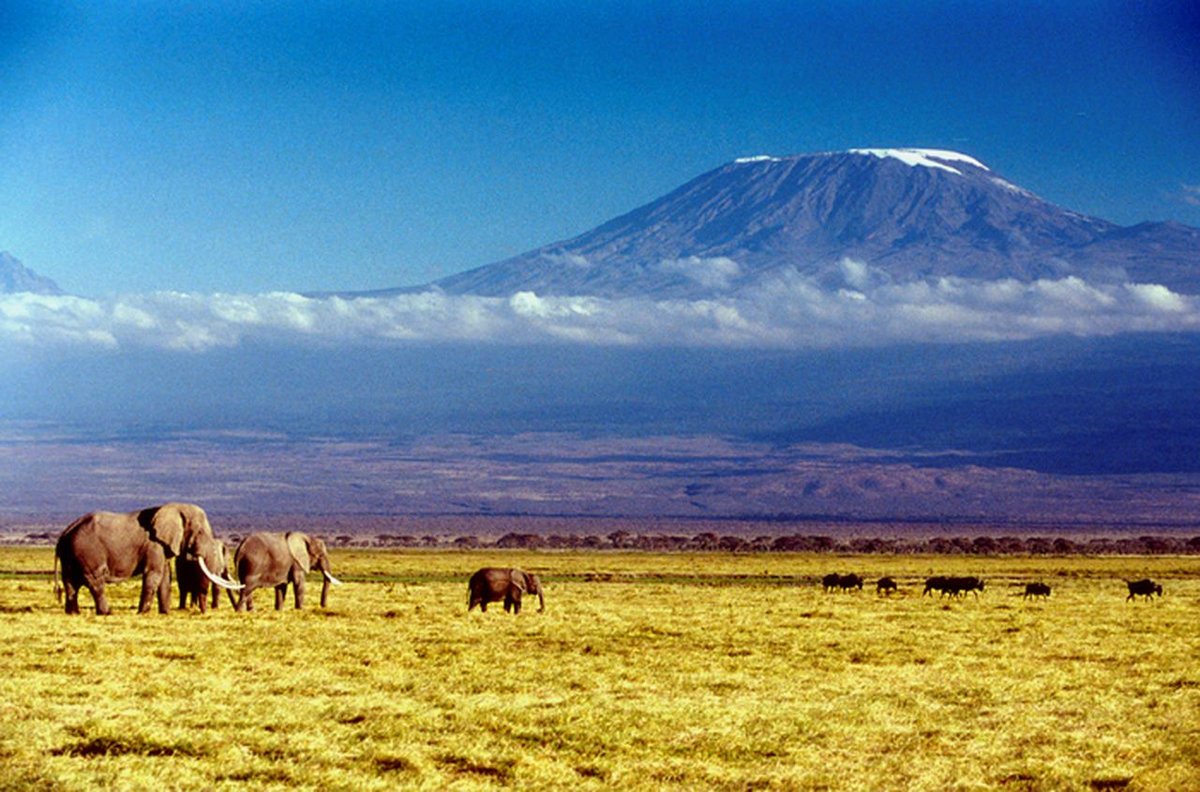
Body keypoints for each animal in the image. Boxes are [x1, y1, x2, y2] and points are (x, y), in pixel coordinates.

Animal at [55, 501, 242, 619]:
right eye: (200, 532)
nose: (203, 613)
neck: (174, 507)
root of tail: (66, 532)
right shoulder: (154, 545)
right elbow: (154, 574)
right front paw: (143, 613)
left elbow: (165, 577)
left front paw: (165, 613)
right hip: (87, 551)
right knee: (95, 581)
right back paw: (107, 613)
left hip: (72, 555)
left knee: (71, 583)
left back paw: (73, 613)